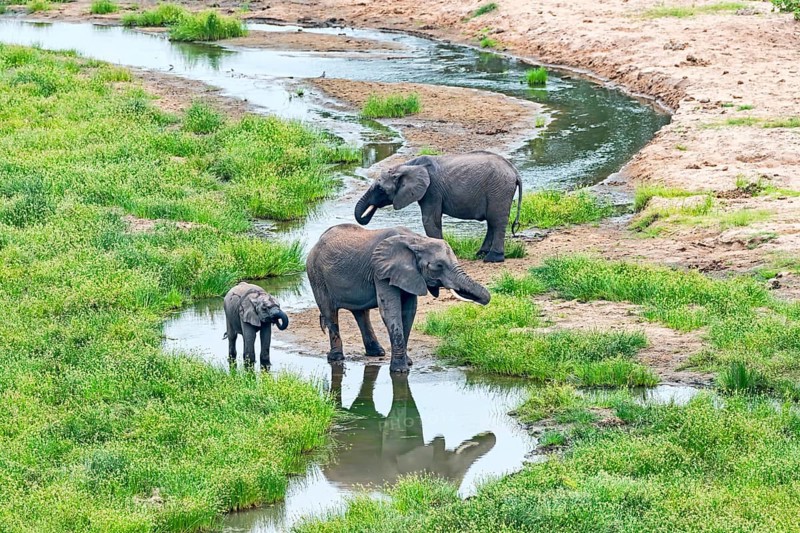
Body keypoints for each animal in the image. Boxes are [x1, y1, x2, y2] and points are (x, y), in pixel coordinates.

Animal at [306, 224, 490, 373]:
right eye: (438, 266)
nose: (486, 300)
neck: (417, 240)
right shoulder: (381, 271)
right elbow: (390, 310)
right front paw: (400, 370)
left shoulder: (411, 275)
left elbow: (409, 311)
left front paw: (407, 363)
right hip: (316, 275)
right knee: (330, 311)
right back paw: (337, 358)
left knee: (361, 313)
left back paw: (377, 353)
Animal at [354, 150, 523, 263]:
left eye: (380, 189)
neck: (406, 166)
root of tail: (515, 171)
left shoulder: (432, 190)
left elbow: (430, 220)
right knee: (491, 222)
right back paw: (480, 254)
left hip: (499, 189)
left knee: (496, 221)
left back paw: (492, 258)